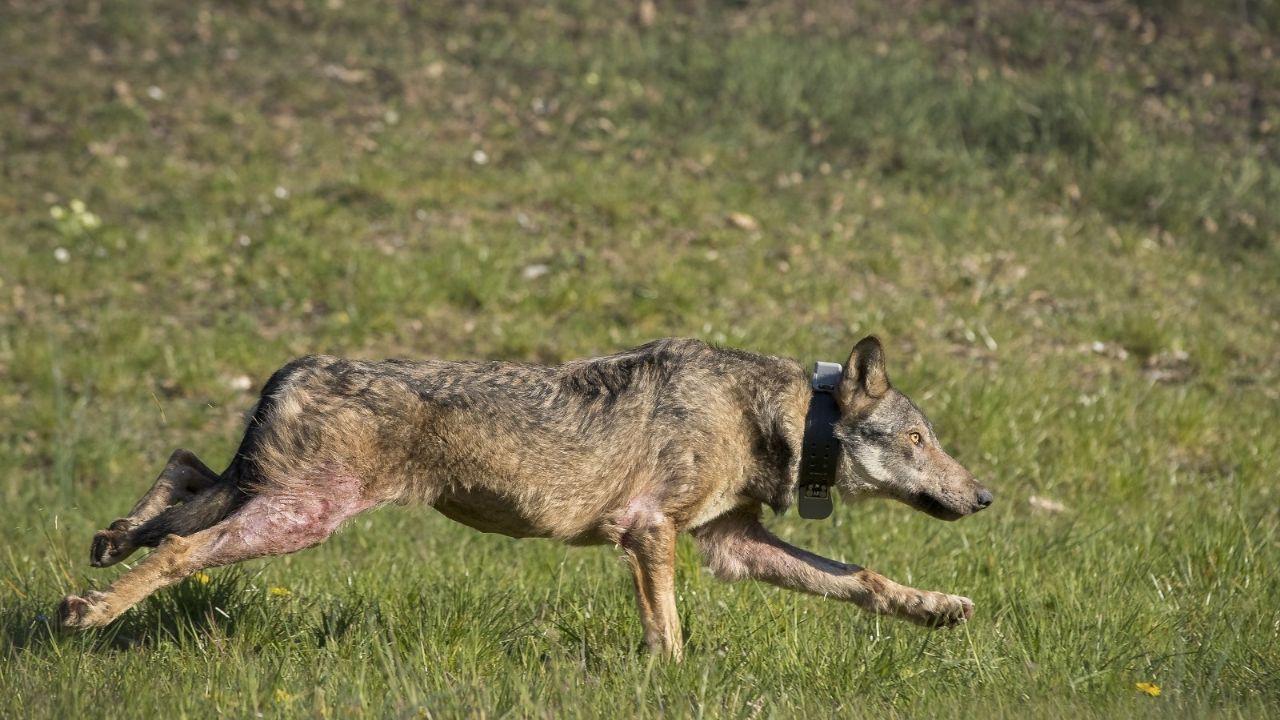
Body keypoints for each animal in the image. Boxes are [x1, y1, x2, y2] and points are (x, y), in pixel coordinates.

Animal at [59, 336, 992, 658]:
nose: (983, 496)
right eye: (918, 441)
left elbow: (862, 578)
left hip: (263, 497)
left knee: (177, 477)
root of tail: (291, 369)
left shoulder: (732, 545)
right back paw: (90, 612)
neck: (776, 416)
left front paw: (937, 608)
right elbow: (670, 637)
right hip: (297, 518)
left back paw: (106, 550)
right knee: (180, 546)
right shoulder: (649, 531)